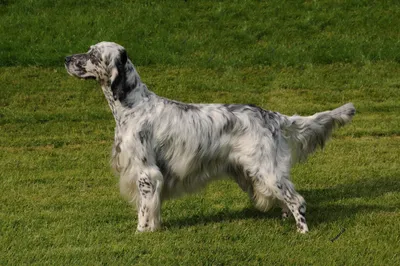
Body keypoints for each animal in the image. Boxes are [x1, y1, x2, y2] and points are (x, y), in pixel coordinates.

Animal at [65, 41, 356, 233]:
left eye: (92, 55)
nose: (66, 58)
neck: (133, 105)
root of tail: (271, 115)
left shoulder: (146, 173)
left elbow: (145, 212)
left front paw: (141, 234)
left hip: (266, 169)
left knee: (298, 201)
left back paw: (302, 232)